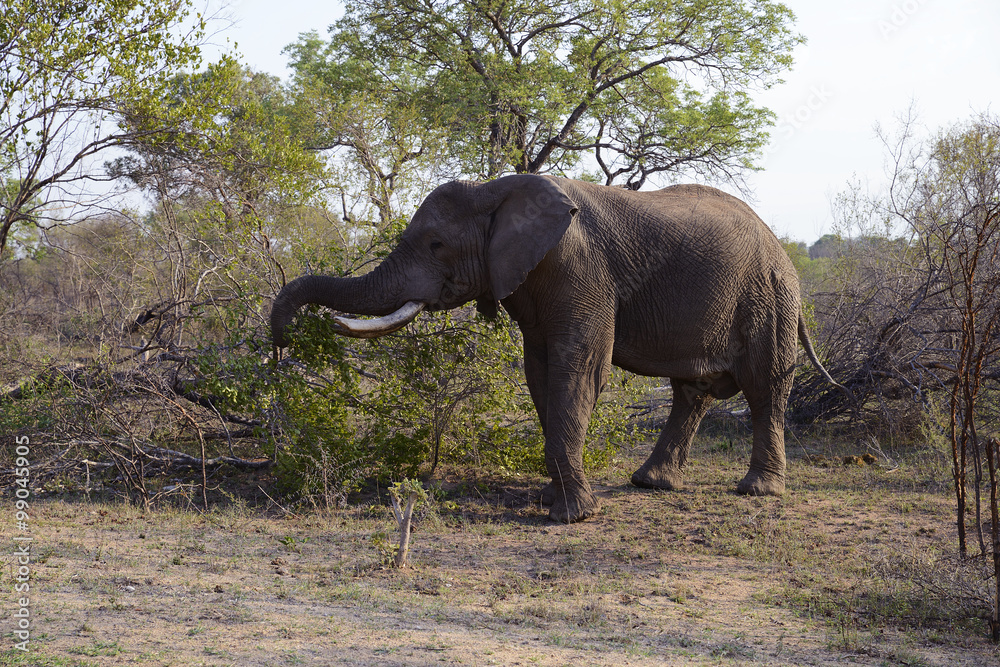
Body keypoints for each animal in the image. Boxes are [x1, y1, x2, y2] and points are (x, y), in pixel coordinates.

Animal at [270, 174, 846, 524]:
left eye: (436, 245)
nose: (280, 342)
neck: (497, 189)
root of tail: (782, 250)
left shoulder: (578, 269)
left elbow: (580, 369)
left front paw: (572, 516)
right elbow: (539, 371)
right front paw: (554, 500)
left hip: (768, 296)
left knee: (764, 385)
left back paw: (756, 491)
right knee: (694, 391)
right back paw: (651, 483)